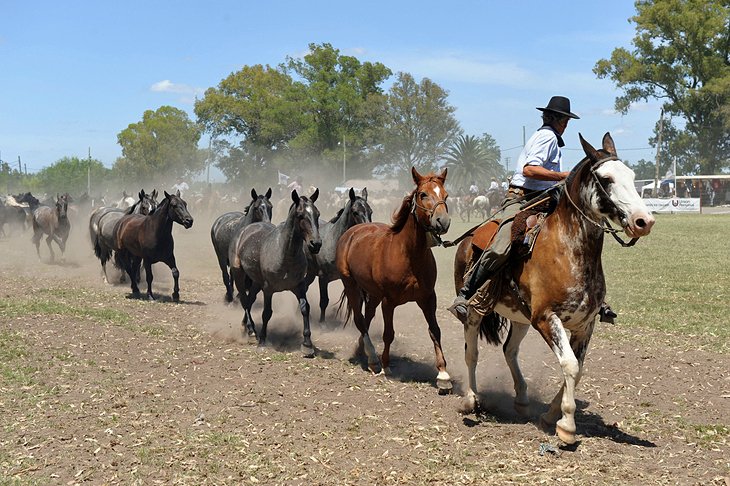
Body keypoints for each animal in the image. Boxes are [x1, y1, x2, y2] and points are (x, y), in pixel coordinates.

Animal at [230, 190, 322, 356]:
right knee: (245, 301)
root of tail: (244, 231)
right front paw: (262, 341)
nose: (316, 244)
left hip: (256, 282)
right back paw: (251, 331)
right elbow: (266, 313)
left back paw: (246, 326)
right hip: (239, 275)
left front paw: (307, 344)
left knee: (250, 299)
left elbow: (305, 309)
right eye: (300, 215)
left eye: (317, 214)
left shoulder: (299, 287)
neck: (285, 254)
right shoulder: (268, 289)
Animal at [302, 188, 370, 320]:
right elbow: (324, 301)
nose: (368, 229)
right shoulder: (323, 278)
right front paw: (322, 322)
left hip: (311, 273)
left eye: (370, 211)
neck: (335, 242)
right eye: (355, 212)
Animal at [334, 168, 450, 394]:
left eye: (446, 195)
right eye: (423, 194)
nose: (443, 221)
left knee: (367, 317)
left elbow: (435, 331)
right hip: (351, 284)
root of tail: (351, 232)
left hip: (373, 294)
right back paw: (372, 359)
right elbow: (389, 333)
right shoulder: (389, 302)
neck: (409, 255)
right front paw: (386, 365)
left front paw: (443, 375)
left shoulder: (428, 299)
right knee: (360, 319)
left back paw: (362, 349)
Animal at [456, 133, 656, 444]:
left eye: (633, 176)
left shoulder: (584, 325)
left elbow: (578, 368)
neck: (567, 251)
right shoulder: (547, 319)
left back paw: (522, 399)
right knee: (471, 353)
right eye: (606, 178)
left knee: (509, 351)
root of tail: (468, 239)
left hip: (519, 317)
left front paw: (552, 415)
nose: (643, 221)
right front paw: (567, 427)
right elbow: (570, 365)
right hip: (476, 312)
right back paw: (470, 399)